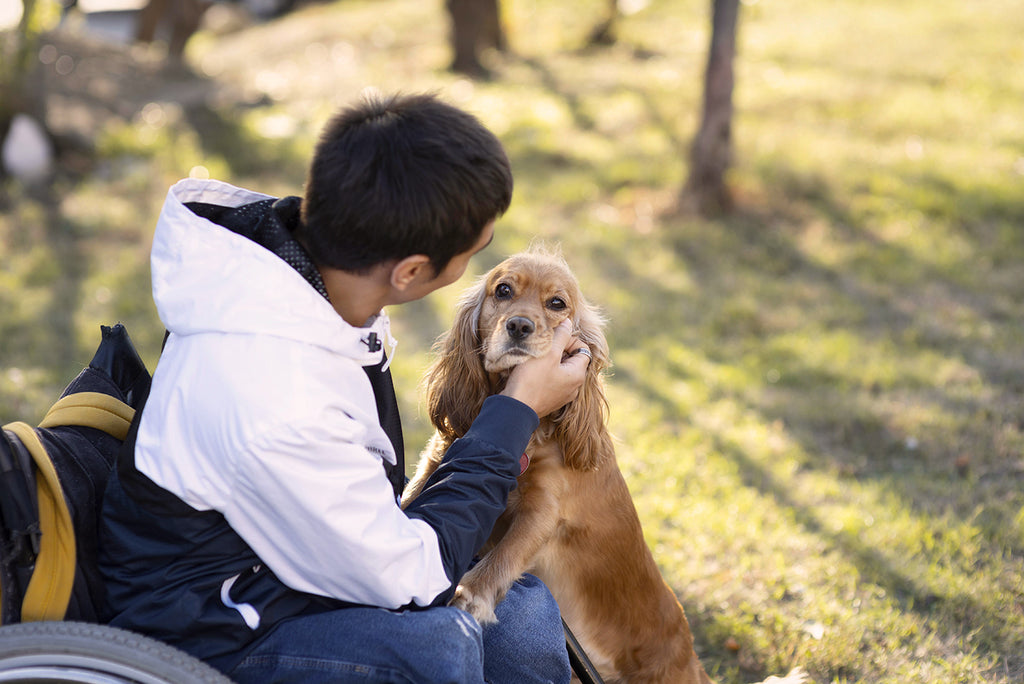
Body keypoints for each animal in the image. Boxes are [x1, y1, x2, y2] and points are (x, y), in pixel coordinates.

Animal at [399, 246, 806, 684]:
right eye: (503, 290)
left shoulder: (544, 511)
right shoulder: (435, 463)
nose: (520, 326)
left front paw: (466, 594)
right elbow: (408, 505)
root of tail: (695, 664)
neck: (530, 427)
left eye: (557, 304)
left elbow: (505, 555)